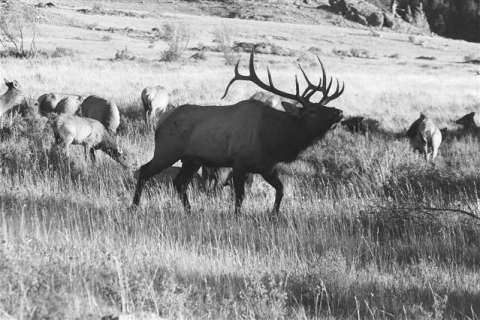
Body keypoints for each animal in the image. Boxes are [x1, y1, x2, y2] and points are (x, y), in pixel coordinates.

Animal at [133, 49, 344, 215]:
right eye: (312, 110)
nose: (339, 112)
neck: (273, 140)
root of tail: (161, 123)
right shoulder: (239, 162)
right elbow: (240, 196)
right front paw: (237, 216)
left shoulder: (266, 167)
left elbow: (281, 189)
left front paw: (274, 215)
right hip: (167, 150)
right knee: (144, 171)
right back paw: (134, 206)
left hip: (191, 160)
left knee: (179, 183)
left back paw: (189, 210)